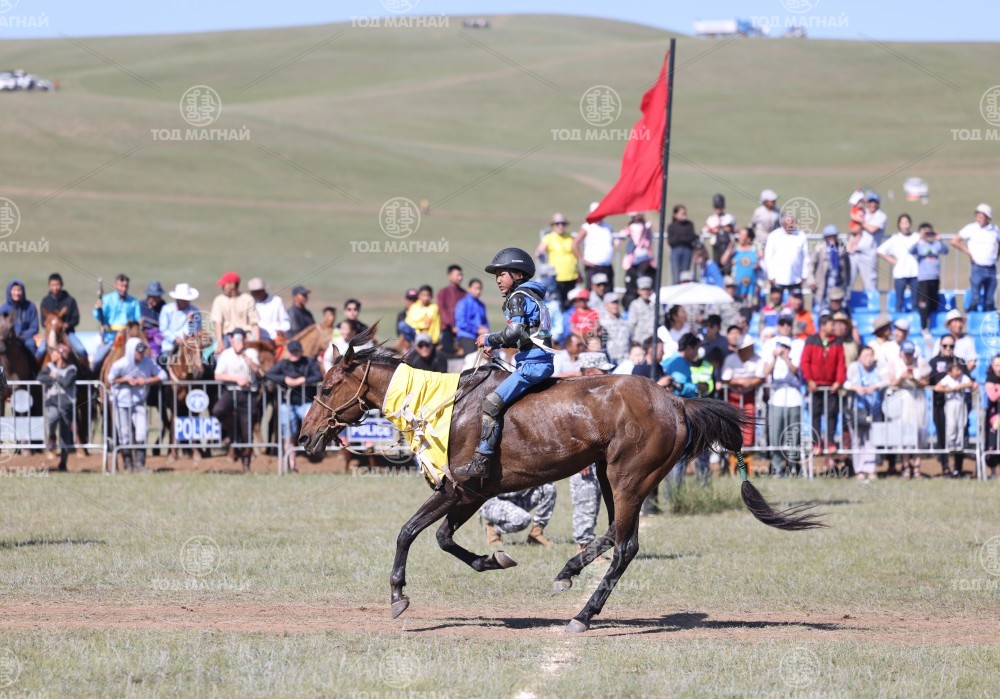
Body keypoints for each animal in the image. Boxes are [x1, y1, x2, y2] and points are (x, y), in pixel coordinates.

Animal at [298, 322, 823, 633]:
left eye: (328, 384)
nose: (305, 437)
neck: (445, 406)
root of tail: (676, 401)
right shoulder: (472, 493)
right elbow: (445, 539)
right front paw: (494, 560)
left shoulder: (458, 488)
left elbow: (408, 531)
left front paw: (397, 595)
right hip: (612, 478)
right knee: (614, 536)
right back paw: (571, 582)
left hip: (628, 478)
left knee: (624, 545)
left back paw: (580, 607)